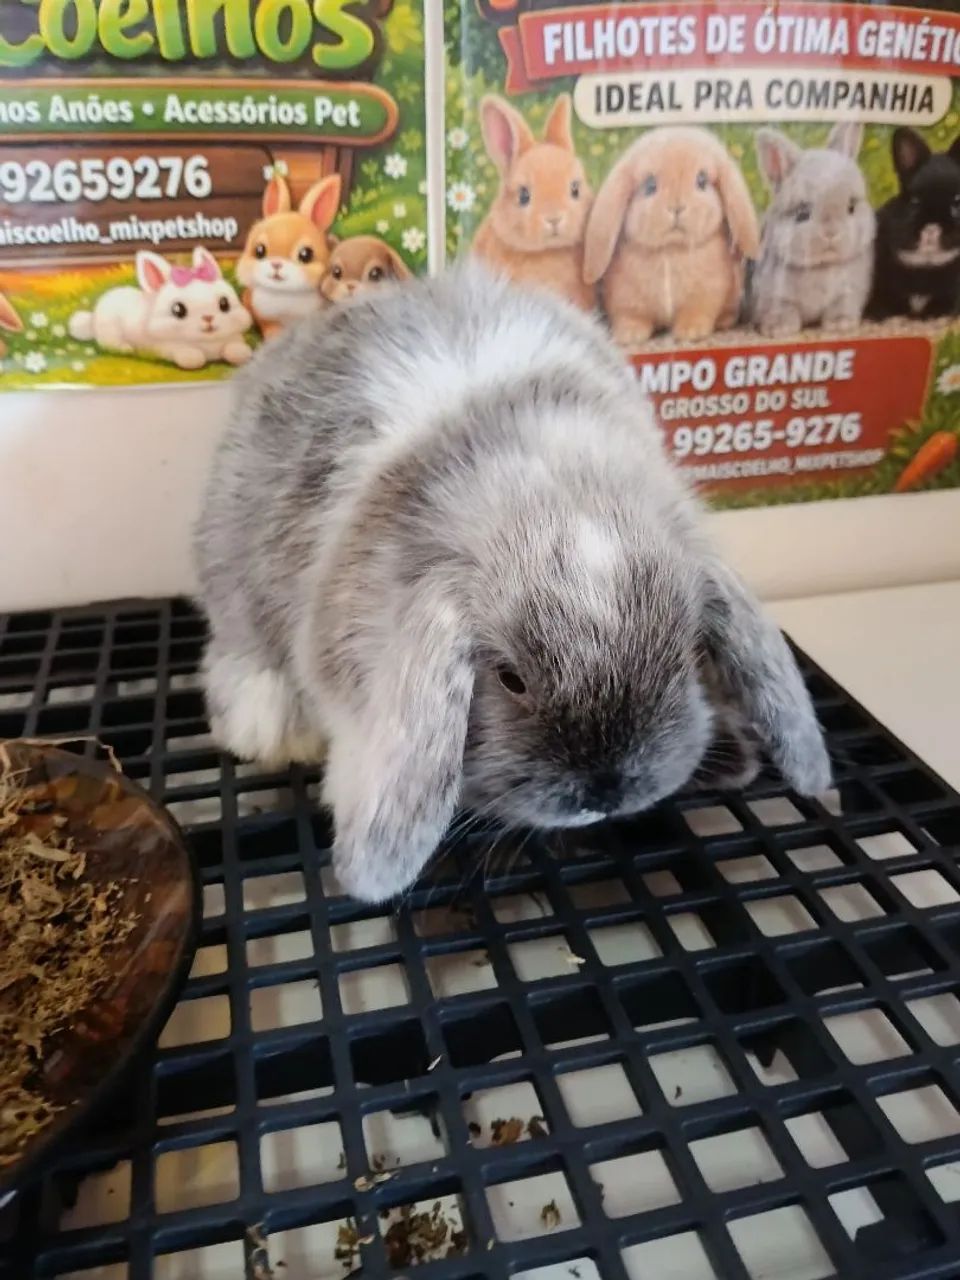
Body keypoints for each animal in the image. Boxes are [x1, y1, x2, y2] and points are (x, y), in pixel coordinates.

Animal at [68, 247, 252, 369]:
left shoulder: (234, 337)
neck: (207, 342)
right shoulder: (167, 347)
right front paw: (194, 358)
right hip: (110, 332)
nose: (208, 318)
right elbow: (189, 355)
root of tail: (93, 317)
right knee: (110, 344)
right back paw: (126, 348)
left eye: (224, 304)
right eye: (178, 310)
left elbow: (235, 347)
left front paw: (240, 354)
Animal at [237, 173, 341, 339]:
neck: (283, 293)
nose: (276, 264)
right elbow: (270, 327)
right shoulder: (265, 317)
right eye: (259, 251)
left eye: (305, 255)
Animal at [583, 127, 760, 348]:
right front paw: (628, 336)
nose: (676, 207)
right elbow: (630, 317)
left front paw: (691, 332)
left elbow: (697, 312)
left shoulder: (705, 296)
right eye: (650, 185)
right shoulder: (624, 299)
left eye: (702, 181)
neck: (670, 248)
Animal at [752, 124, 876, 337]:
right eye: (802, 213)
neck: (821, 266)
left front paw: (840, 324)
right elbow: (782, 309)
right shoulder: (772, 295)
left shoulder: (850, 291)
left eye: (851, 207)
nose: (831, 233)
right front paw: (779, 329)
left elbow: (842, 306)